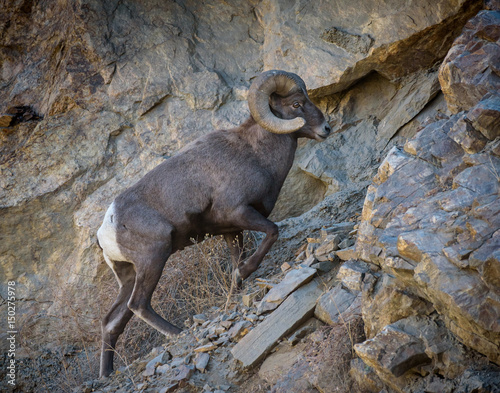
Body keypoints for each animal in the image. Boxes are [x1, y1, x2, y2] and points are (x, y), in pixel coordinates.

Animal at [97, 70, 332, 376]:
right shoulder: (240, 213)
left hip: (128, 275)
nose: (326, 128)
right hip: (153, 260)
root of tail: (106, 230)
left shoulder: (232, 231)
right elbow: (271, 233)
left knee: (111, 322)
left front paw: (235, 291)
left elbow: (238, 259)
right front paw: (242, 274)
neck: (255, 154)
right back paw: (178, 333)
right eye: (296, 104)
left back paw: (106, 374)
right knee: (139, 305)